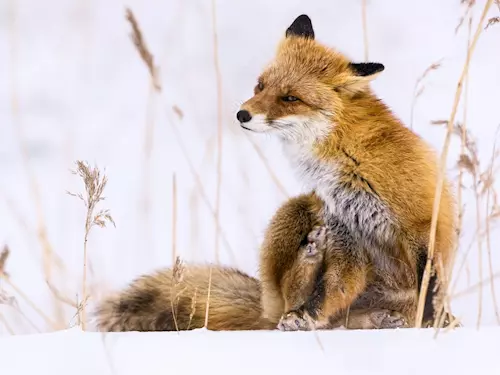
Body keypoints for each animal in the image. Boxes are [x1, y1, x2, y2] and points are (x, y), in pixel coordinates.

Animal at [237, 13, 458, 328]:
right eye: (260, 86)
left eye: (291, 98)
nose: (242, 115)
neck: (348, 156)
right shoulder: (344, 226)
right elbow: (330, 289)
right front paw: (307, 315)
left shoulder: (424, 222)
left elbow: (430, 286)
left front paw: (431, 324)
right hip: (297, 209)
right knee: (288, 299)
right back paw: (308, 267)